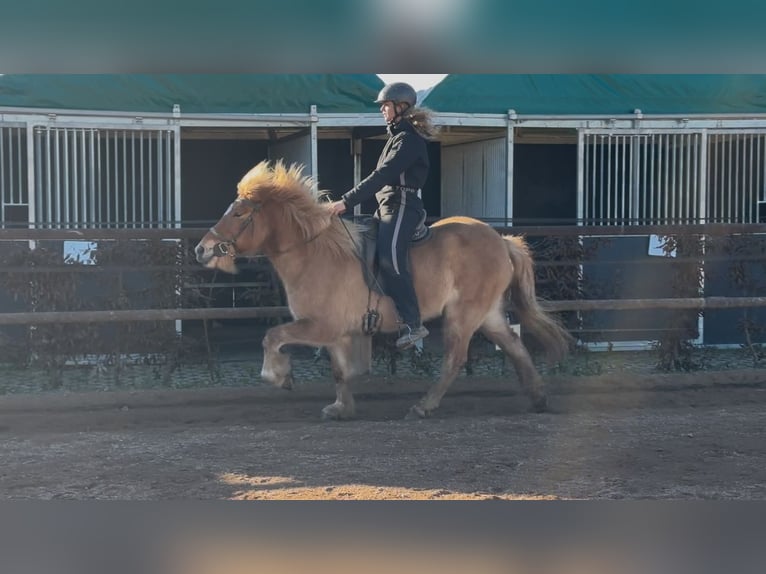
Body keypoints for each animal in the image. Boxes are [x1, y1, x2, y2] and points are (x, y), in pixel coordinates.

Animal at [195, 160, 572, 420]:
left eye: (239, 212)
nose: (202, 249)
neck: (315, 253)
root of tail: (501, 240)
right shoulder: (337, 332)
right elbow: (339, 370)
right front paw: (341, 408)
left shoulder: (320, 326)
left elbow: (272, 336)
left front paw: (279, 376)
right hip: (488, 314)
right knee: (516, 347)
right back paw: (539, 398)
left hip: (463, 315)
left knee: (455, 359)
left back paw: (423, 406)